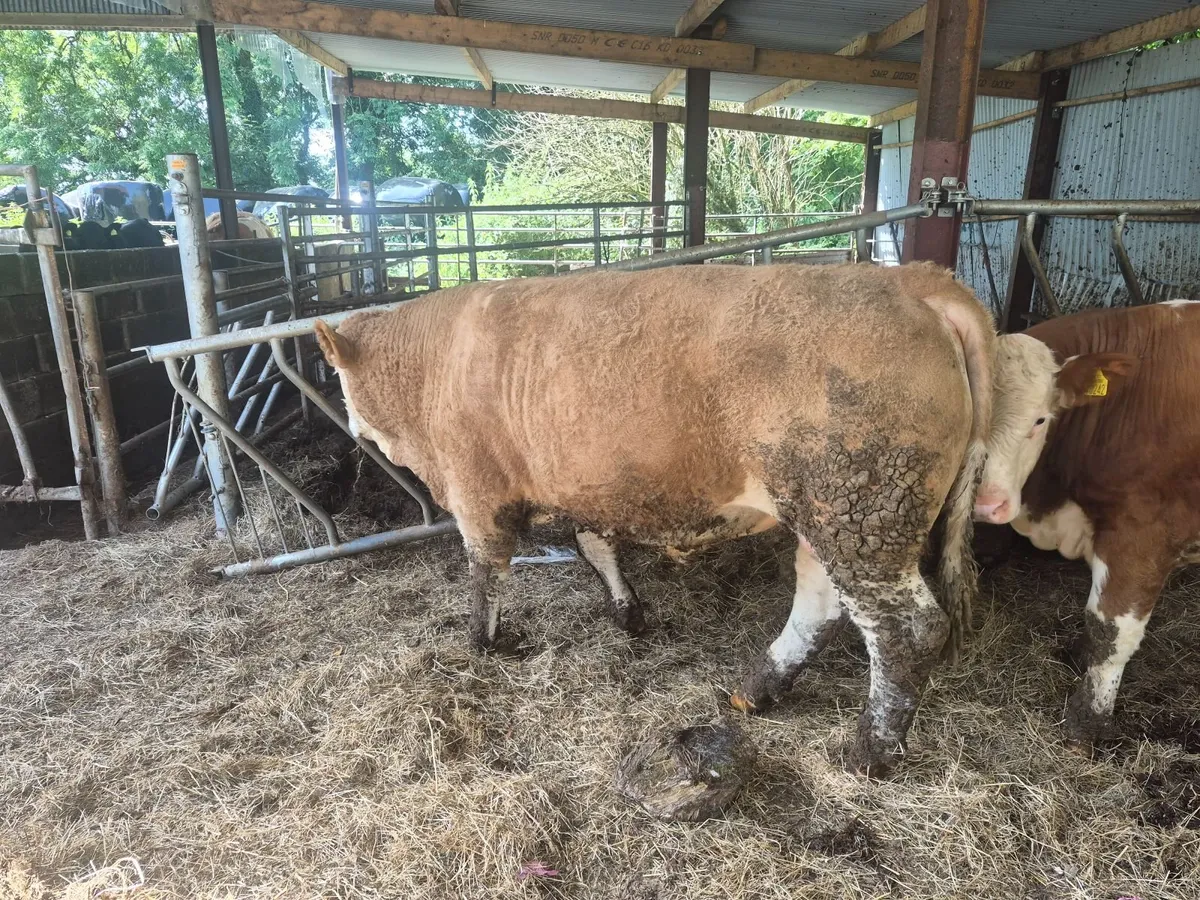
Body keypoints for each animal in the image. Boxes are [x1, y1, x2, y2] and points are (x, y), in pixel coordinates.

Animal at [314, 262, 997, 776]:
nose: (350, 434)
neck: (437, 360)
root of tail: (908, 279)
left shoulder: (476, 488)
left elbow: (486, 572)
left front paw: (480, 642)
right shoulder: (589, 485)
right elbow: (593, 545)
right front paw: (629, 612)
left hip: (865, 508)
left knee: (906, 629)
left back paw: (870, 750)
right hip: (829, 509)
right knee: (821, 601)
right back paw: (758, 687)